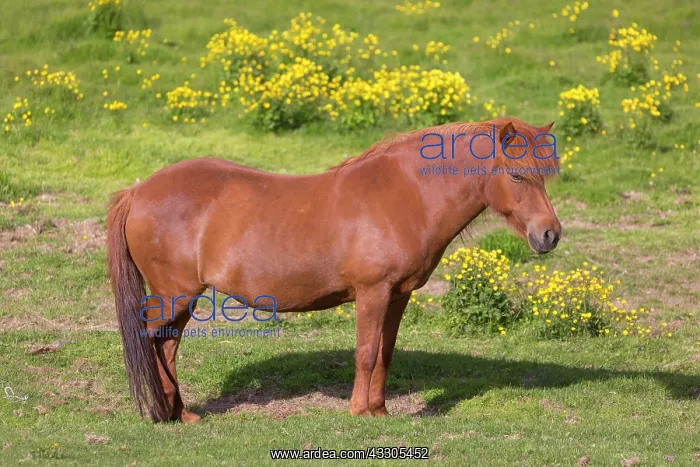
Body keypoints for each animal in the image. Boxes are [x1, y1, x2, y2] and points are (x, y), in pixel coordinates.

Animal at [107, 117, 562, 423]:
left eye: (546, 176)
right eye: (517, 175)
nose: (550, 235)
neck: (405, 195)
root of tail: (138, 191)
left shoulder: (399, 295)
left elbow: (385, 353)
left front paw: (380, 410)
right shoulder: (373, 292)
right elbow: (366, 352)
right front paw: (360, 411)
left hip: (181, 299)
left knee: (166, 346)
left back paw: (180, 414)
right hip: (174, 294)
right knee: (152, 344)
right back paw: (160, 412)